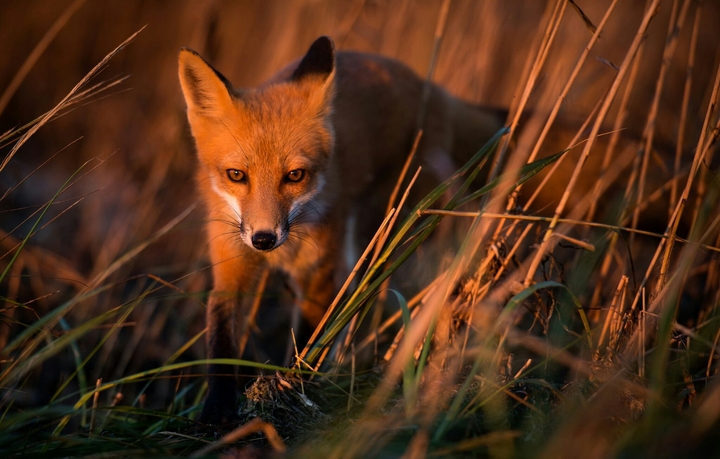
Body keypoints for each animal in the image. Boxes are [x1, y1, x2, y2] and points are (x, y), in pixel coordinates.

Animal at [178, 36, 505, 424]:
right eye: (236, 175)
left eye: (295, 176)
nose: (264, 239)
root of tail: (425, 83)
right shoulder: (232, 266)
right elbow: (221, 339)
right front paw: (217, 410)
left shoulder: (320, 274)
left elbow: (308, 340)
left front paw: (289, 390)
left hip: (378, 230)